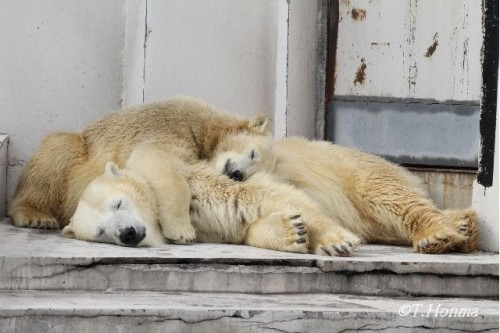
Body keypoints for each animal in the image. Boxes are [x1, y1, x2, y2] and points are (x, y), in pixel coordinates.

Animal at [6, 94, 270, 243]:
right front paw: (182, 231)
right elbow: (157, 160)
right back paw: (36, 216)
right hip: (78, 151)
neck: (207, 125)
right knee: (58, 149)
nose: (237, 173)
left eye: (252, 171)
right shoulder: (175, 127)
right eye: (253, 153)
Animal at [61, 143, 364, 254]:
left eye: (118, 202)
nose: (128, 233)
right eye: (100, 232)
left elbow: (266, 195)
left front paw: (337, 242)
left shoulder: (197, 179)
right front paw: (291, 231)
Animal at [210, 131, 476, 253]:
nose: (235, 172)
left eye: (253, 154)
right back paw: (463, 225)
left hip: (355, 172)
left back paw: (437, 236)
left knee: (388, 196)